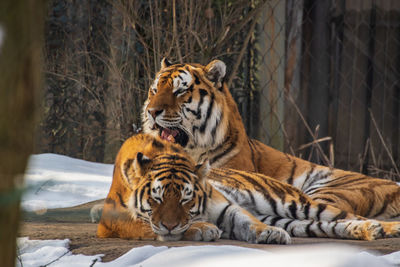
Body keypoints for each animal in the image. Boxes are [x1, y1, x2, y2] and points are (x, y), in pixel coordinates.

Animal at [96, 133, 400, 243]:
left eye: (185, 200)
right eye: (157, 199)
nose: (170, 224)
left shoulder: (226, 205)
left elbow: (246, 220)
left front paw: (268, 234)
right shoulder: (118, 221)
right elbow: (150, 226)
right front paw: (203, 229)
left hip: (293, 203)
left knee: (343, 216)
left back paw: (381, 228)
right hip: (293, 218)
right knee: (326, 226)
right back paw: (370, 231)